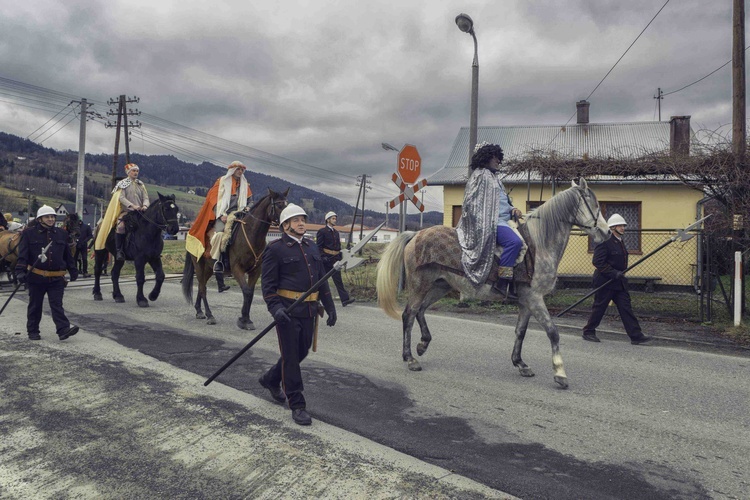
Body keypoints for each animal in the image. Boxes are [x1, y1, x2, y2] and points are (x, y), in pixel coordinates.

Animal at [181, 188, 290, 328]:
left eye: (287, 204)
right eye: (279, 205)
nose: (287, 224)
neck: (251, 235)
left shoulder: (255, 271)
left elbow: (250, 293)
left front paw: (246, 318)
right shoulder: (237, 269)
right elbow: (246, 291)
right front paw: (244, 319)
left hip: (208, 268)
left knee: (201, 286)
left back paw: (199, 311)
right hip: (199, 265)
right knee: (203, 288)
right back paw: (210, 316)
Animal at [378, 180, 612, 390]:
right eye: (595, 204)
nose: (607, 232)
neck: (539, 246)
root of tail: (416, 234)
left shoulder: (526, 301)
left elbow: (520, 331)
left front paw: (520, 363)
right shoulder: (535, 298)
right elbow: (552, 332)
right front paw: (560, 373)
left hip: (439, 286)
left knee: (420, 311)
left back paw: (422, 344)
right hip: (420, 284)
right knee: (409, 314)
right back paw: (410, 358)